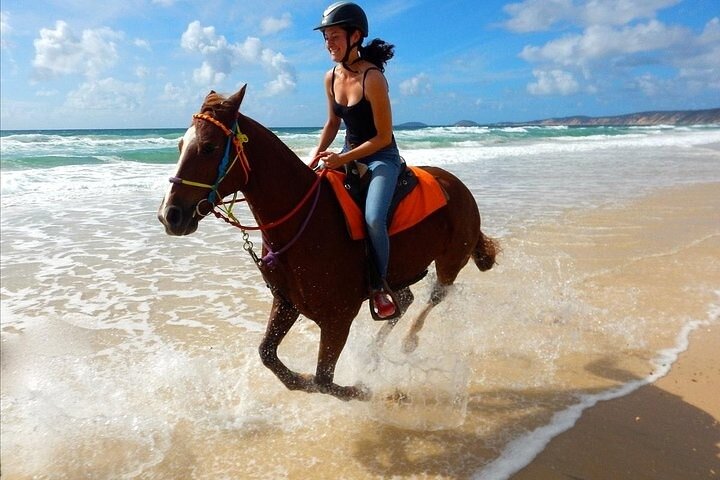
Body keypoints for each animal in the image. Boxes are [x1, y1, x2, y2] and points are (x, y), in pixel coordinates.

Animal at [157, 86, 498, 401]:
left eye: (208, 147)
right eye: (179, 145)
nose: (169, 215)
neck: (305, 221)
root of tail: (457, 185)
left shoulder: (338, 318)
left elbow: (323, 379)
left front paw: (364, 389)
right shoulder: (287, 303)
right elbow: (268, 355)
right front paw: (303, 378)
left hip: (450, 262)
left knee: (434, 297)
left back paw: (408, 342)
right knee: (404, 300)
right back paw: (373, 352)